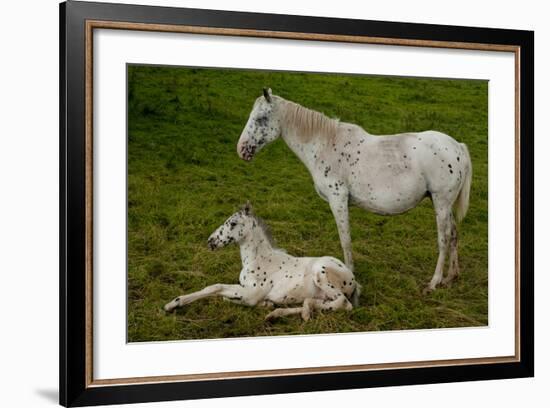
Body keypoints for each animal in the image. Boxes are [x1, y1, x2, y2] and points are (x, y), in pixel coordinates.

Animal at [164, 202, 362, 320]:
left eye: (233, 223)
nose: (210, 241)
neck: (258, 259)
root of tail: (353, 279)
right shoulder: (245, 290)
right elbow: (221, 293)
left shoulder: (251, 293)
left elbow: (217, 288)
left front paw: (172, 304)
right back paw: (277, 312)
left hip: (321, 273)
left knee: (343, 303)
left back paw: (303, 312)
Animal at [237, 89, 474, 294]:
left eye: (261, 119)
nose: (242, 150)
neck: (325, 145)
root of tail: (458, 147)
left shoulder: (338, 200)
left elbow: (345, 239)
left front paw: (349, 273)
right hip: (443, 204)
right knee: (454, 234)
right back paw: (451, 277)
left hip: (441, 202)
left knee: (444, 239)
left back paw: (434, 282)